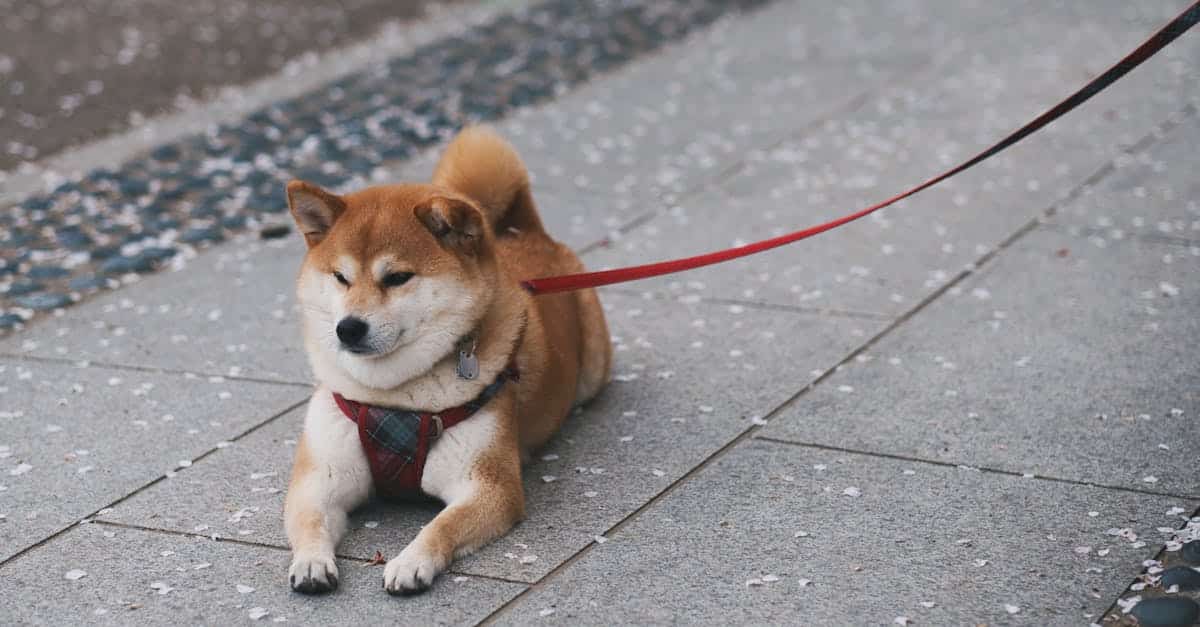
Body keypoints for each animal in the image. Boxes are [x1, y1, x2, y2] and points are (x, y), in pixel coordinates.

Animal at [280, 125, 609, 590]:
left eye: (398, 277)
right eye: (340, 277)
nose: (348, 327)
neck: (393, 399)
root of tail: (523, 232)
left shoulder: (487, 485)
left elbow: (442, 525)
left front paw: (411, 561)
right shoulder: (320, 479)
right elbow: (310, 521)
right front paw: (310, 561)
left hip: (593, 366)